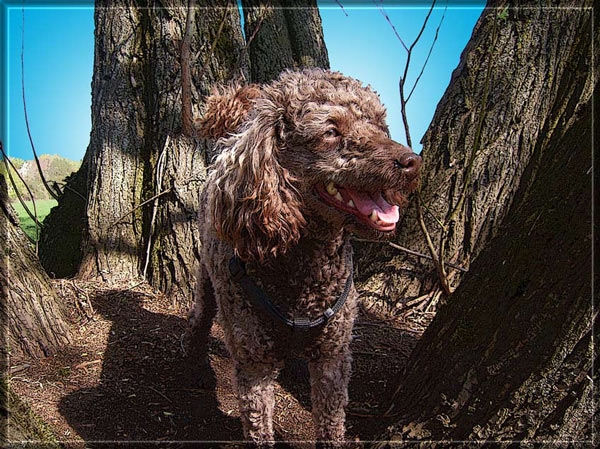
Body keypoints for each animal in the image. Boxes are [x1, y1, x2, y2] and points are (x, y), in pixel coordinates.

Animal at [188, 68, 422, 446]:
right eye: (330, 131)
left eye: (379, 124)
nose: (411, 162)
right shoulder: (254, 363)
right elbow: (259, 426)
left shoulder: (333, 357)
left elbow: (331, 422)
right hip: (208, 281)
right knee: (199, 315)